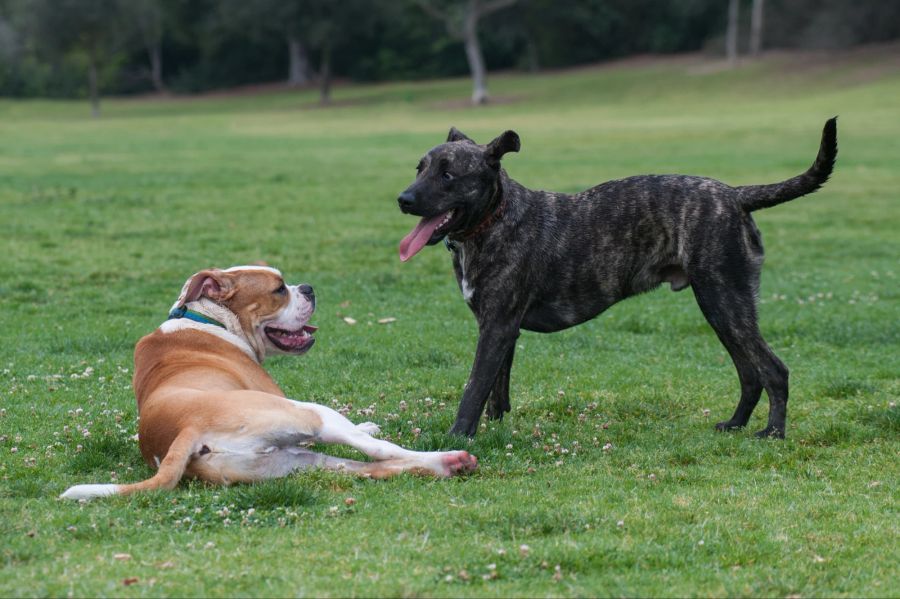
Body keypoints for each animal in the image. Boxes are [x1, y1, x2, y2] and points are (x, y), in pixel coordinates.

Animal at [61, 268, 478, 502]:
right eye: (279, 289)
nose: (308, 287)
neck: (209, 319)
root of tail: (186, 430)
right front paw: (368, 424)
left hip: (295, 463)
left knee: (373, 467)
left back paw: (448, 465)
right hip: (309, 414)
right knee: (380, 451)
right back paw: (447, 455)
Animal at [400, 119, 836, 440]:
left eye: (448, 175)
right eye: (419, 169)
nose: (403, 199)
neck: (495, 218)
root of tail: (735, 194)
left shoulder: (497, 328)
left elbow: (474, 388)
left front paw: (457, 438)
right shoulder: (500, 329)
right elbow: (495, 391)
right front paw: (491, 430)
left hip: (725, 301)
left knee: (773, 370)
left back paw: (773, 433)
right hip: (722, 308)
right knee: (750, 373)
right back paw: (735, 425)